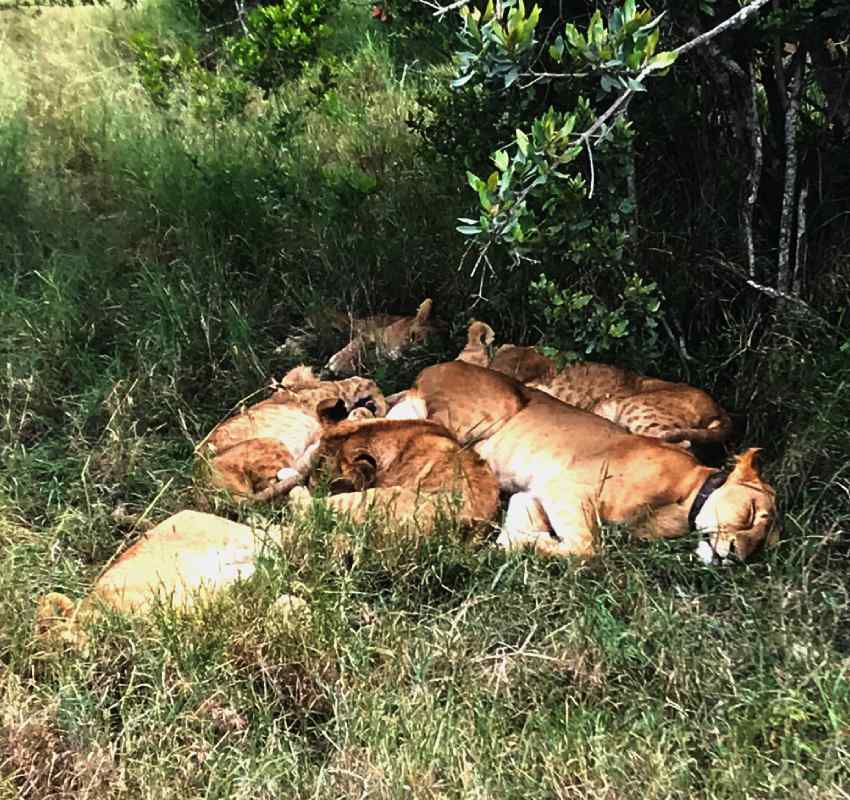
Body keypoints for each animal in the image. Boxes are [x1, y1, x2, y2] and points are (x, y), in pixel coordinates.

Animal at [411, 361, 776, 563]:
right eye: (752, 514)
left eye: (764, 544)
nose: (737, 557)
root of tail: (428, 369)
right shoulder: (563, 487)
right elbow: (589, 549)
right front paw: (525, 542)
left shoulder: (529, 496)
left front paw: (508, 542)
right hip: (495, 408)